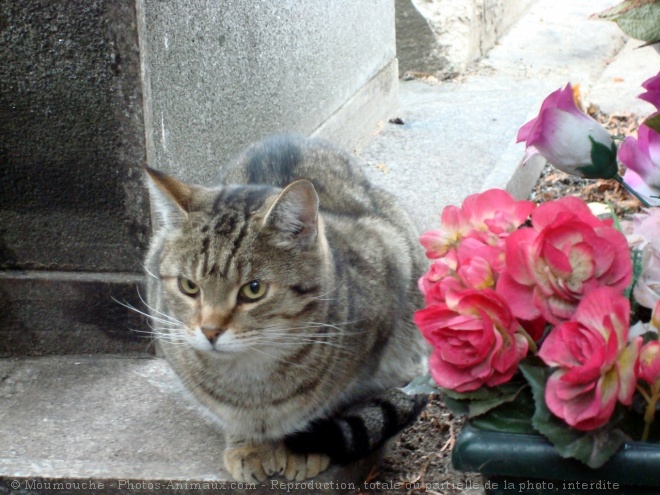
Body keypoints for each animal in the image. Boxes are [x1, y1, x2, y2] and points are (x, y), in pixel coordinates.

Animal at [143, 134, 428, 482]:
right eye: (189, 286)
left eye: (253, 289)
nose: (209, 331)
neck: (253, 377)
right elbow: (229, 413)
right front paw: (248, 445)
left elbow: (333, 398)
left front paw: (303, 447)